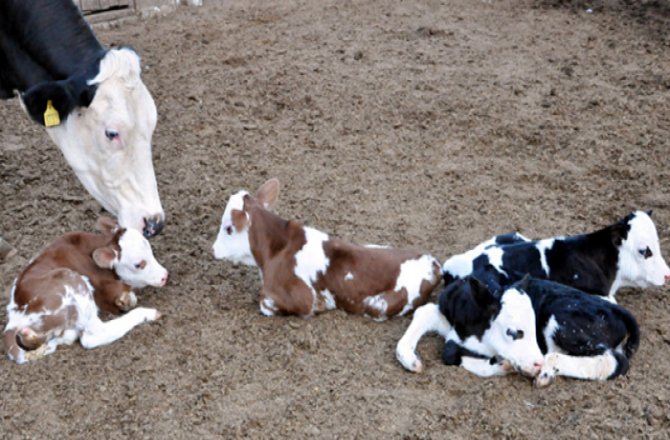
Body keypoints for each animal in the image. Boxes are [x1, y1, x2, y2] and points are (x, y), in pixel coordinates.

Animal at [2, 217, 169, 364]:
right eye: (139, 264)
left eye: (151, 251)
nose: (165, 276)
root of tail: (12, 320)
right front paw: (127, 300)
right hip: (73, 283)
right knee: (93, 336)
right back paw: (148, 313)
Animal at [213, 179, 444, 320]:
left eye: (228, 228)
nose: (213, 249)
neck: (275, 251)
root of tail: (434, 263)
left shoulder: (304, 298)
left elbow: (265, 300)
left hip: (378, 305)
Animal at [396, 276, 644, 386]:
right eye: (513, 332)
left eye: (533, 327)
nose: (536, 362)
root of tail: (616, 310)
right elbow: (425, 314)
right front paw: (410, 358)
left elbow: (451, 354)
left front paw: (503, 365)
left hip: (565, 322)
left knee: (614, 362)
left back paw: (547, 371)